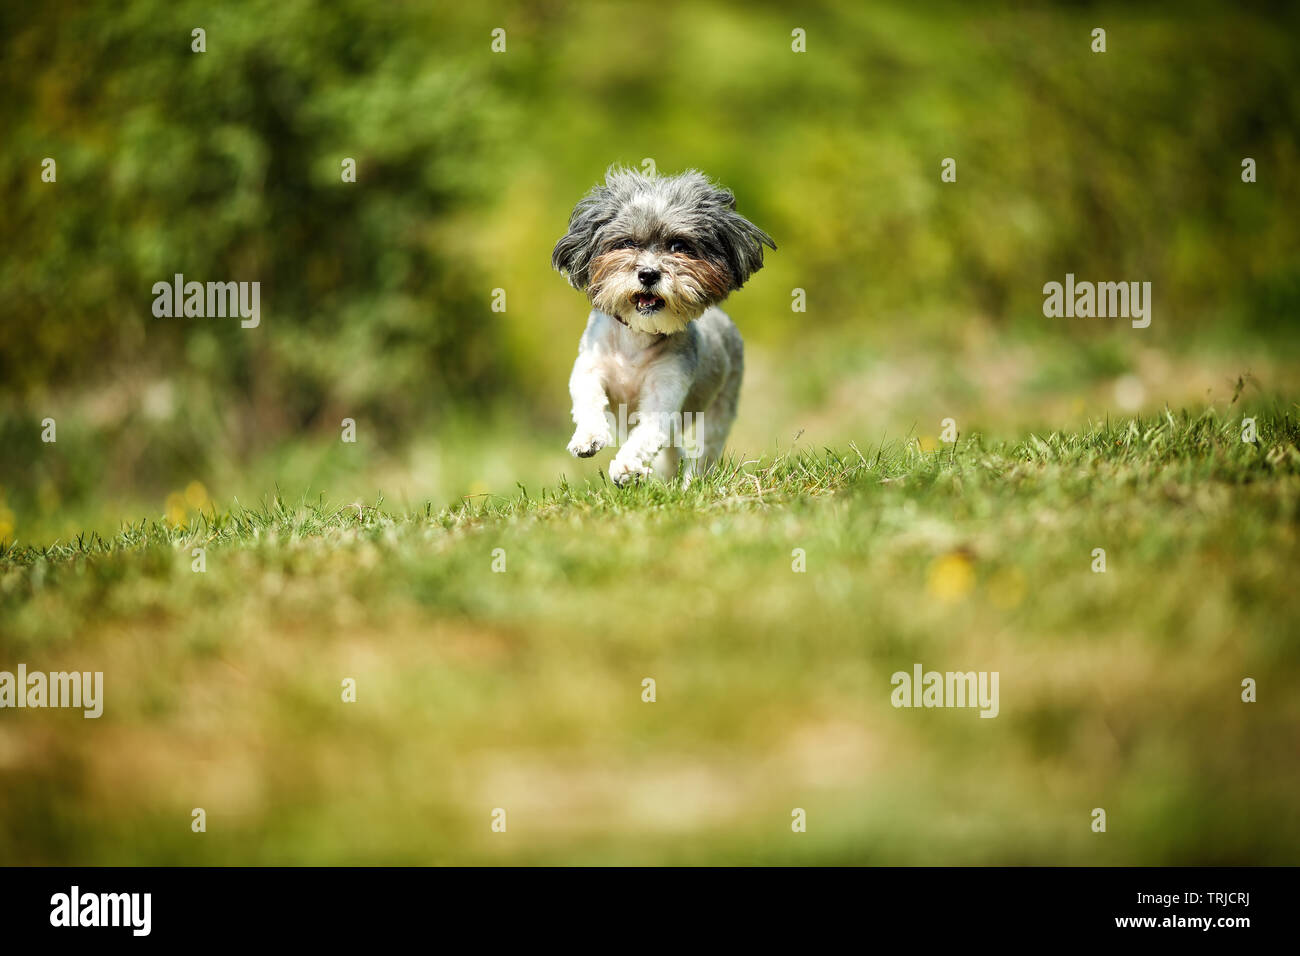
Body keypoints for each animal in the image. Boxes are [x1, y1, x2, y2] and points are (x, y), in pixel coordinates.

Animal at [553, 166, 774, 486]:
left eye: (679, 246)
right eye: (627, 243)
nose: (648, 273)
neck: (637, 337)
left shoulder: (665, 390)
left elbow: (647, 433)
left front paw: (626, 467)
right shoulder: (590, 367)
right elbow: (588, 399)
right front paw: (588, 438)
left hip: (721, 408)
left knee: (703, 450)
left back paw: (687, 482)